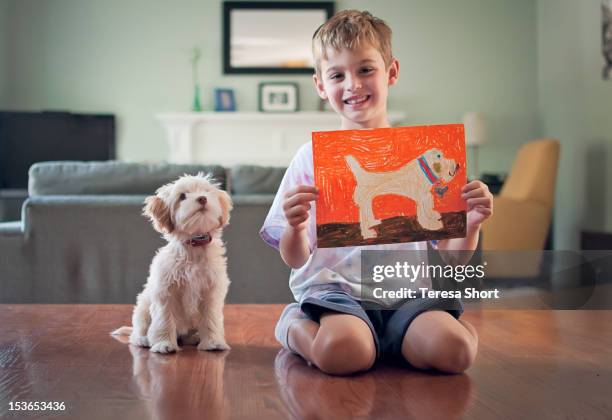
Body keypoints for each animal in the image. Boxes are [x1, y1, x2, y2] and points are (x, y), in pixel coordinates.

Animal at [111, 172, 233, 352]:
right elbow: (164, 319)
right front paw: (164, 344)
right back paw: (144, 340)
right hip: (143, 307)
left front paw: (213, 342)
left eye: (206, 191)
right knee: (138, 331)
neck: (193, 245)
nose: (203, 198)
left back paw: (194, 338)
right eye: (182, 196)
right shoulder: (165, 291)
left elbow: (211, 318)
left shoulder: (211, 290)